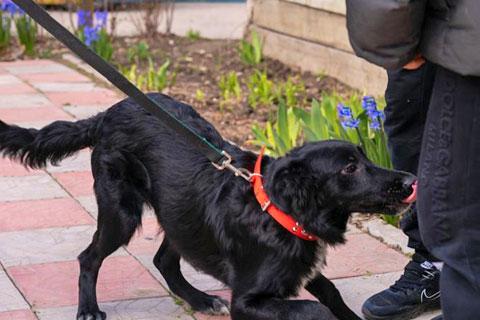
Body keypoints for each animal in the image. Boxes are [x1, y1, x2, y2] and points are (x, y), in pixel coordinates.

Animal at [0, 93, 416, 320]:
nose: (412, 181)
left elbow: (330, 293)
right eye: (349, 168)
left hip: (179, 212)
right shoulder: (247, 300)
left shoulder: (298, 263)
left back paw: (198, 300)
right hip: (122, 212)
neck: (279, 209)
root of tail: (106, 114)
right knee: (89, 257)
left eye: (364, 156)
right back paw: (88, 308)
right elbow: (316, 308)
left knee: (164, 260)